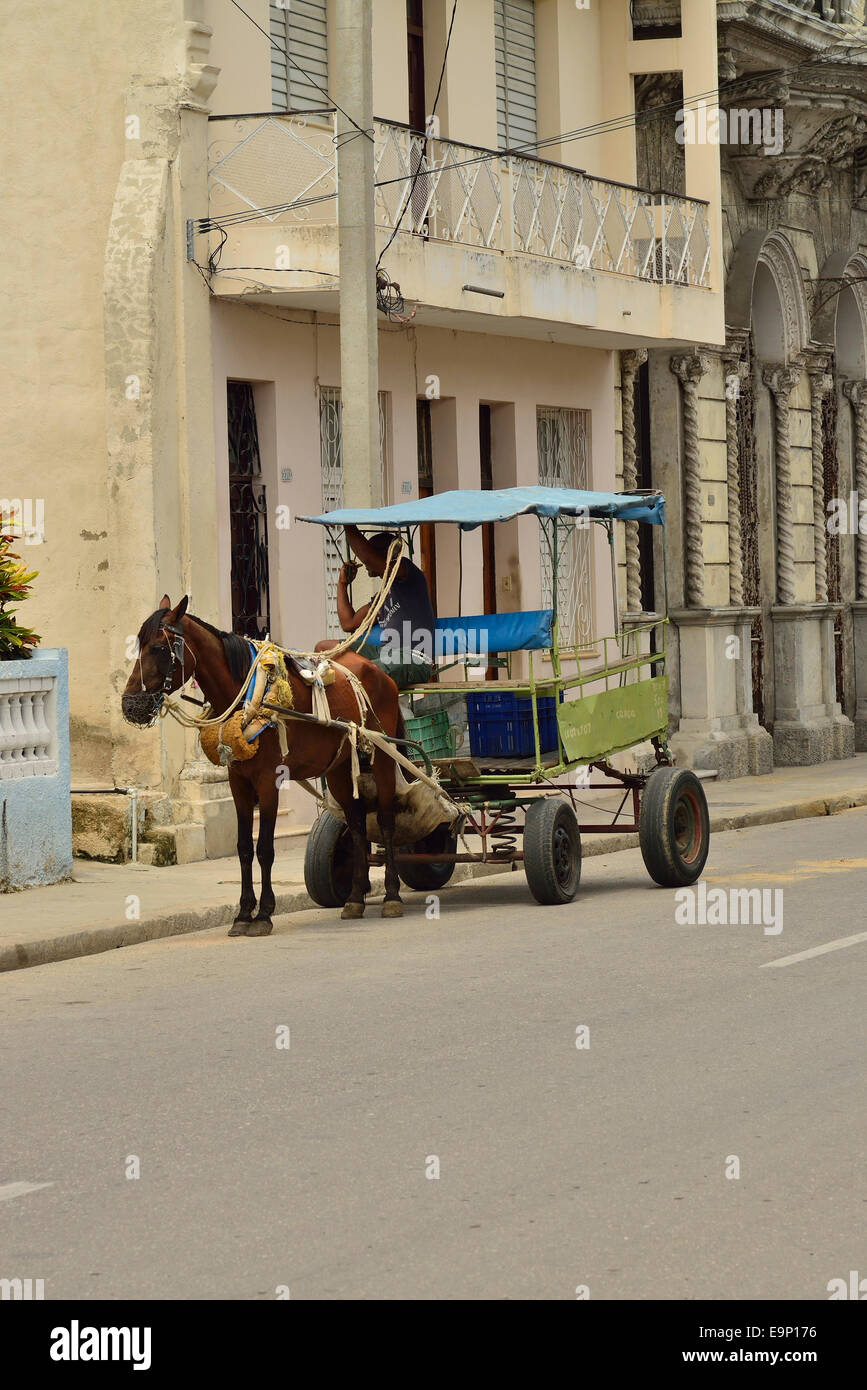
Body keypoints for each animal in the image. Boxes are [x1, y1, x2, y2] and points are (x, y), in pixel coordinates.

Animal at [122, 594, 405, 934]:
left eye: (159, 648)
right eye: (139, 645)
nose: (129, 705)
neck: (247, 696)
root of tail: (381, 674)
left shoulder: (269, 781)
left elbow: (265, 849)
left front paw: (264, 914)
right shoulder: (238, 781)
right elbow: (245, 847)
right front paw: (244, 913)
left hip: (385, 758)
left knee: (387, 822)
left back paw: (392, 895)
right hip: (339, 769)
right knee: (358, 823)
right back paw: (354, 899)